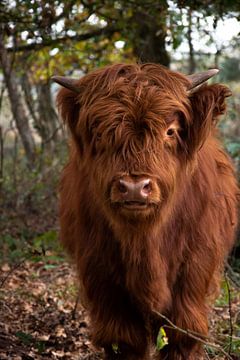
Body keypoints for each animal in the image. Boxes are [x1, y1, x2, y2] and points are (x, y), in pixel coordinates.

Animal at [52, 64, 238, 360]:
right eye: (101, 132)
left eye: (170, 131)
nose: (134, 188)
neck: (145, 240)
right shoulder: (98, 266)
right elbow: (122, 338)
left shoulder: (197, 263)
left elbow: (183, 332)